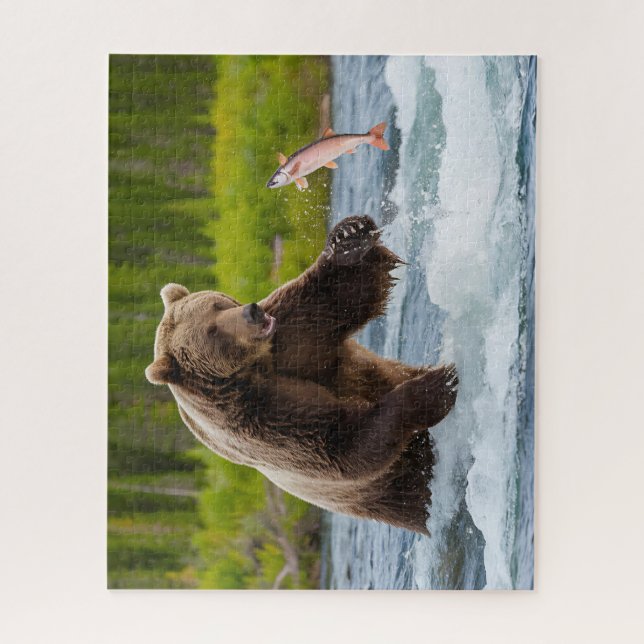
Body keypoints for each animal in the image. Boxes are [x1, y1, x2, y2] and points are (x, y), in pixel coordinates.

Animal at [145, 215, 458, 535]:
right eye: (212, 331)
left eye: (218, 303)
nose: (252, 312)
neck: (252, 368)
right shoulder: (256, 421)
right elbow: (337, 446)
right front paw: (435, 388)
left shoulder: (290, 339)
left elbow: (336, 296)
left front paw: (349, 239)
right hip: (393, 490)